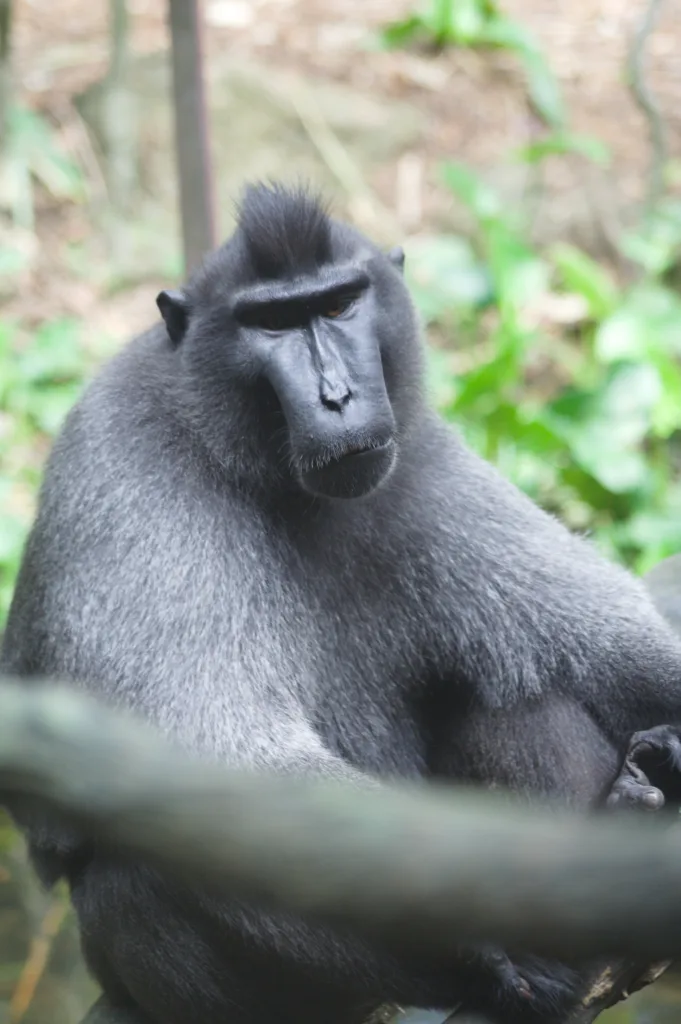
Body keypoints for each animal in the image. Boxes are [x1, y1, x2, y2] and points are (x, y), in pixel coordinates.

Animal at [3, 181, 681, 1024]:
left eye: (339, 303)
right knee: (159, 860)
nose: (336, 396)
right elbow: (215, 765)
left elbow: (618, 648)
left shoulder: (417, 457)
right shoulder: (126, 467)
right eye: (271, 323)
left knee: (523, 698)